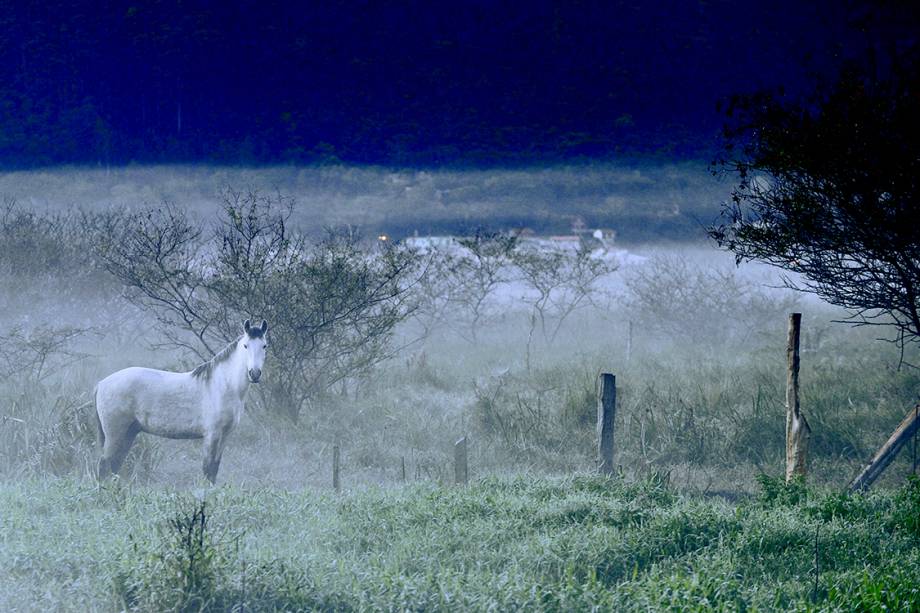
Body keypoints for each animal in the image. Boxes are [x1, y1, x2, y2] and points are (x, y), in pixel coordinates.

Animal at [95, 318, 268, 480]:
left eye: (264, 346)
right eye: (245, 346)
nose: (254, 374)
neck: (223, 384)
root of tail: (101, 383)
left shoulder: (224, 436)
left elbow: (214, 468)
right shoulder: (212, 435)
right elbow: (208, 469)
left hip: (128, 433)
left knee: (114, 464)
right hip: (115, 434)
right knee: (104, 466)